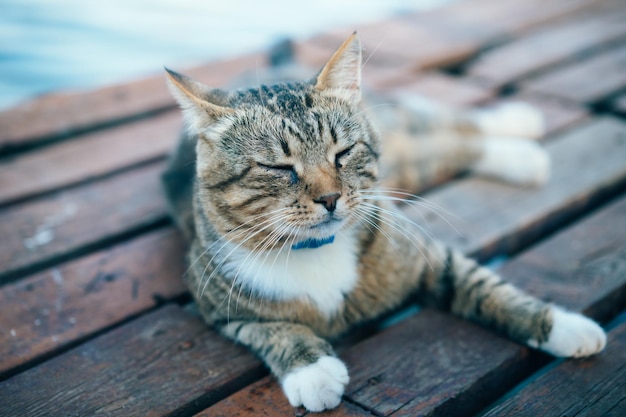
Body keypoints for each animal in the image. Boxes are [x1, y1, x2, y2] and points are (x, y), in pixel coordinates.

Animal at [162, 31, 604, 410]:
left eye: (343, 152)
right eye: (278, 167)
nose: (330, 198)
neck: (317, 249)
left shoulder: (426, 253)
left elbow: (486, 288)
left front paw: (561, 326)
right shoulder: (215, 304)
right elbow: (268, 329)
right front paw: (311, 369)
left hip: (399, 130)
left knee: (446, 128)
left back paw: (519, 131)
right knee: (442, 147)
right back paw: (521, 154)